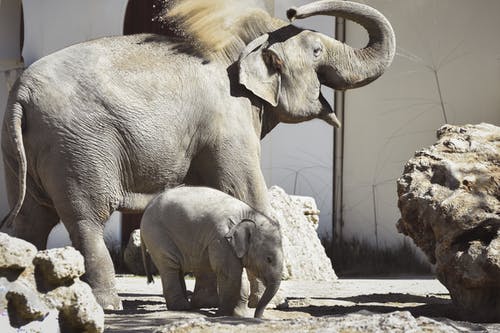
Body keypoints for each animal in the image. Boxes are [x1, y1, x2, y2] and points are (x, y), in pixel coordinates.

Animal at [139, 185, 284, 318]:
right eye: (269, 259)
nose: (259, 317)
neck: (247, 215)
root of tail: (149, 205)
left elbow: (239, 275)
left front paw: (239, 315)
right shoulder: (221, 239)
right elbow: (230, 274)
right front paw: (222, 315)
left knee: (177, 267)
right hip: (156, 234)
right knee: (169, 266)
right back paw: (182, 307)